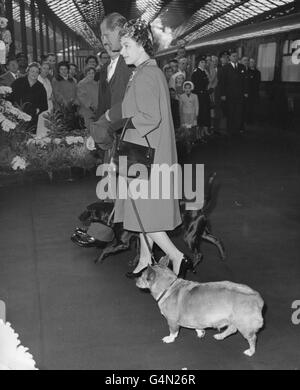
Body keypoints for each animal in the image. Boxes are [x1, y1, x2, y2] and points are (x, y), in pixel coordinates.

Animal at [75, 172, 225, 266]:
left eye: (86, 210)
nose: (78, 216)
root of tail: (198, 206)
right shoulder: (138, 238)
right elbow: (139, 252)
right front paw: (135, 263)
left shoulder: (123, 243)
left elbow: (106, 249)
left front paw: (98, 259)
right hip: (201, 232)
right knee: (216, 240)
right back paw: (223, 256)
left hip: (190, 236)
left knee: (199, 254)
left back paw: (192, 265)